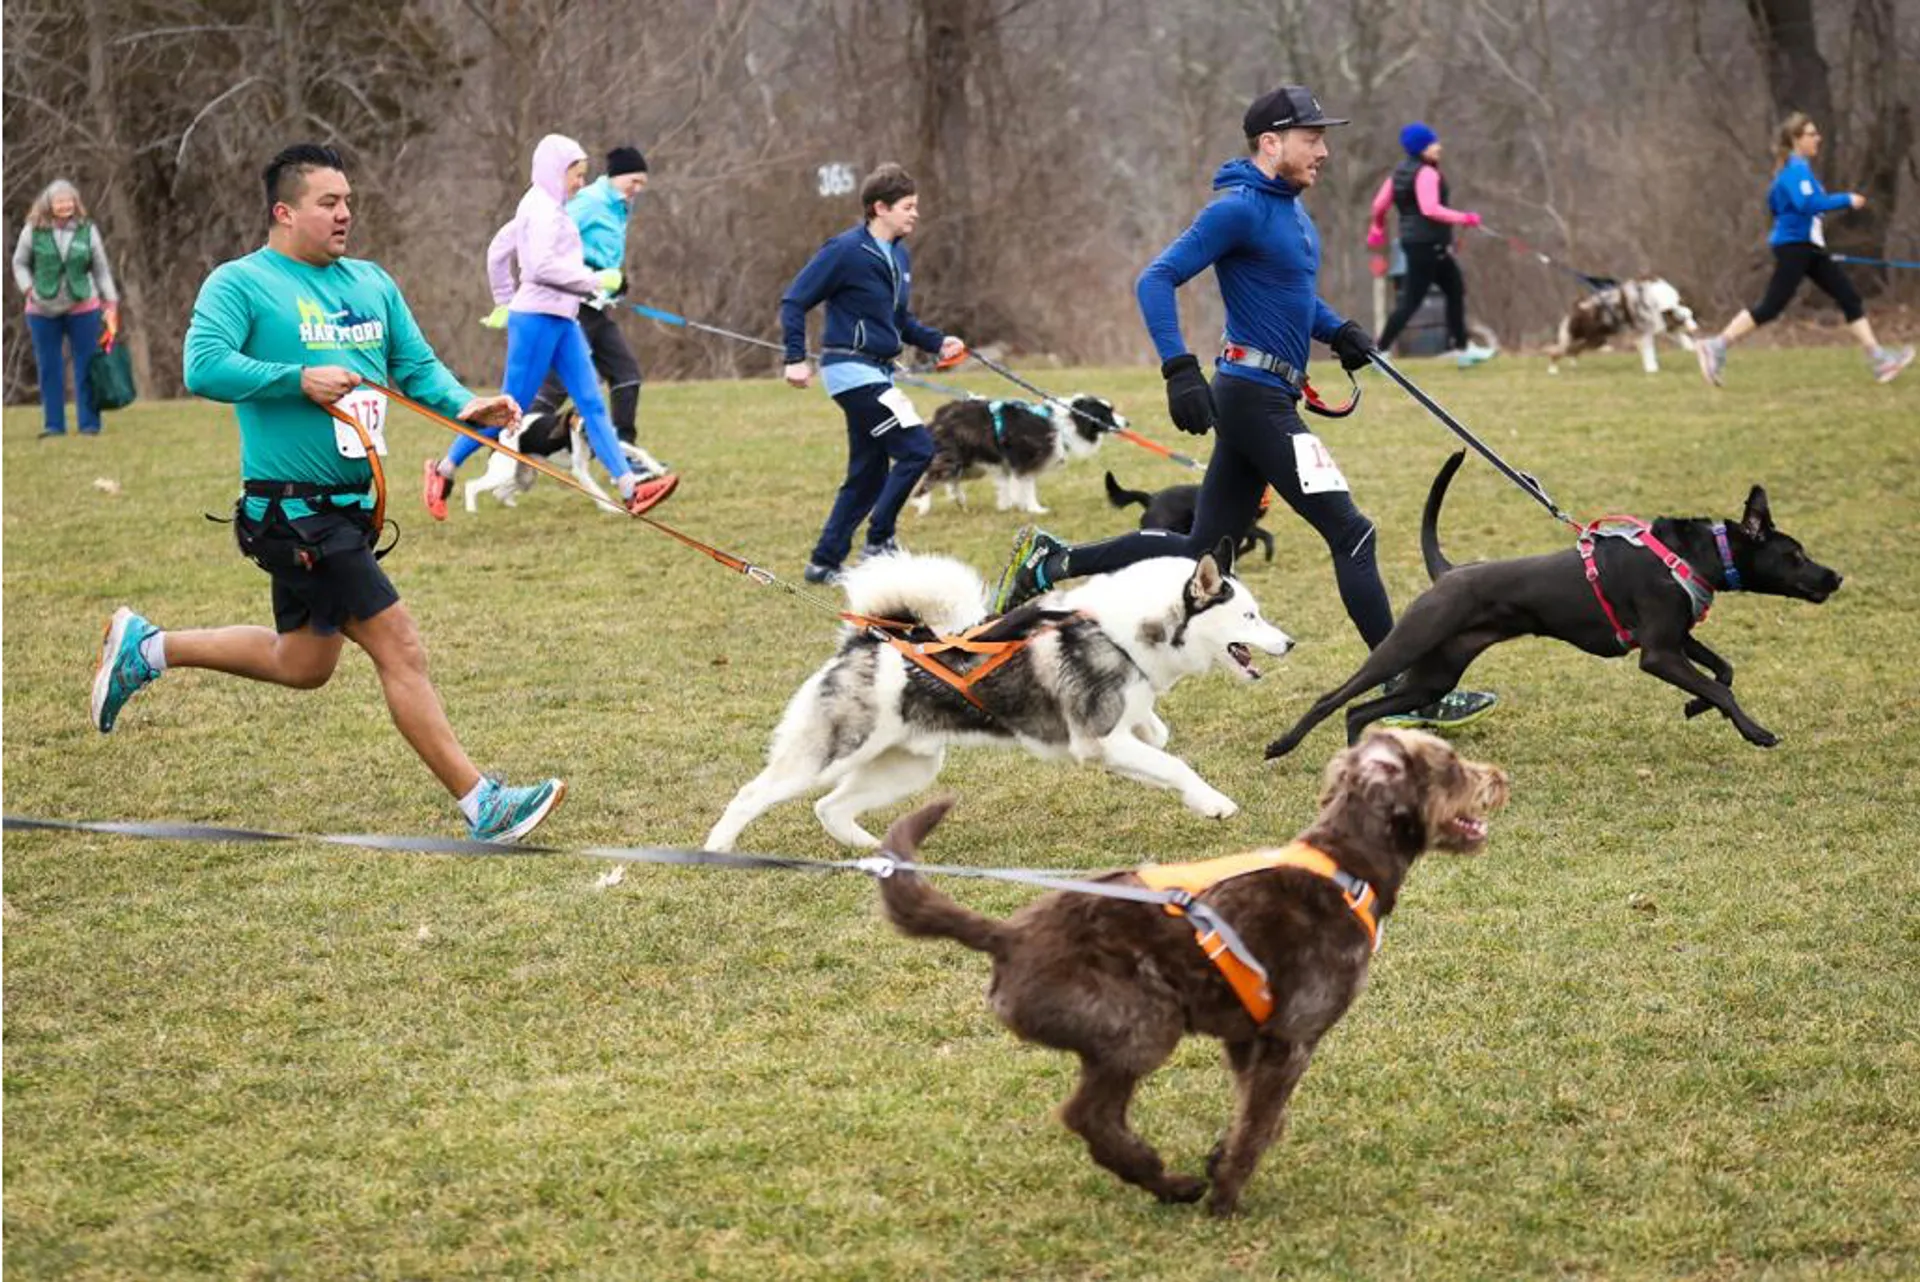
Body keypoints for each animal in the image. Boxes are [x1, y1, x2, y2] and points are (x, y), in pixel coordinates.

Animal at [460, 408, 672, 514]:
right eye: (575, 415)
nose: (584, 426)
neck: (587, 439)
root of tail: (498, 436)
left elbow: (638, 451)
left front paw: (657, 469)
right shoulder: (580, 470)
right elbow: (596, 491)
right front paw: (611, 507)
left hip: (525, 475)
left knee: (499, 492)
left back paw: (511, 505)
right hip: (503, 472)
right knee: (471, 485)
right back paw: (471, 511)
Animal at [706, 541, 1290, 852]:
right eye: (1249, 616)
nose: (1289, 643)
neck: (1124, 633)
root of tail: (868, 641)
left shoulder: (1121, 734)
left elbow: (1160, 741)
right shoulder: (1099, 742)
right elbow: (1176, 765)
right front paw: (1215, 803)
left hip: (909, 767)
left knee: (830, 806)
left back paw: (873, 851)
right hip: (830, 752)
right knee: (752, 795)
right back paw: (718, 850)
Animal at [875, 729, 1512, 1212]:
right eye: (1454, 766)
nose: (1501, 777)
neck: (1345, 865)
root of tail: (1006, 936)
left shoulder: (1248, 1037)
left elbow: (1254, 1113)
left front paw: (1219, 1156)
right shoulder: (1292, 1038)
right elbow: (1259, 1127)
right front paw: (1225, 1198)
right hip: (1146, 1023)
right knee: (1089, 1117)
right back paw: (1170, 1182)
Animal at [906, 391, 1121, 514]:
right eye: (1107, 413)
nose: (1127, 422)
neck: (1065, 423)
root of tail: (938, 416)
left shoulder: (1008, 465)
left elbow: (1009, 486)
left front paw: (1009, 505)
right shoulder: (1024, 461)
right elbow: (1027, 487)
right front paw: (1035, 509)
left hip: (970, 465)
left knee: (950, 480)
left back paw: (959, 499)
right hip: (952, 458)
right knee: (930, 478)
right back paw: (922, 505)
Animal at [1551, 276, 1704, 372]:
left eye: (1691, 316)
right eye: (1683, 319)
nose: (1696, 329)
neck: (1658, 302)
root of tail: (1577, 308)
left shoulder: (1660, 323)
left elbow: (1680, 336)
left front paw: (1691, 346)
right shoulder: (1644, 330)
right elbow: (1649, 350)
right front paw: (1652, 369)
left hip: (1594, 340)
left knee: (1572, 351)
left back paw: (1571, 363)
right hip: (1588, 338)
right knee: (1558, 351)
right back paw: (1552, 369)